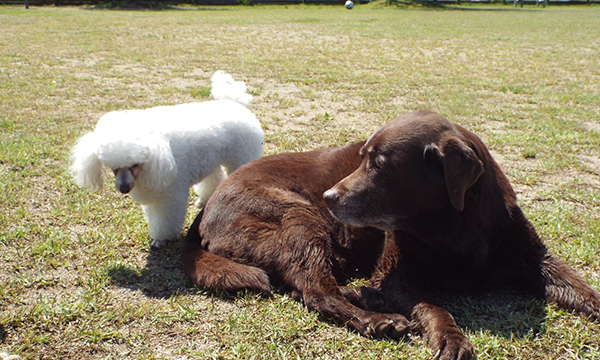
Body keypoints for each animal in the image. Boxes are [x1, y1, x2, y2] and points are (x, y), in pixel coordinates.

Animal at [180, 142, 410, 338]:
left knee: (303, 287)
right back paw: (377, 319)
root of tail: (203, 213)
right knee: (318, 293)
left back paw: (372, 298)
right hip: (299, 215)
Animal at [324, 109, 600, 360]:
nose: (328, 197)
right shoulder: (394, 276)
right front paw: (450, 337)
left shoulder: (536, 258)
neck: (452, 226)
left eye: (379, 165)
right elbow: (433, 307)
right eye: (362, 160)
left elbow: (580, 287)